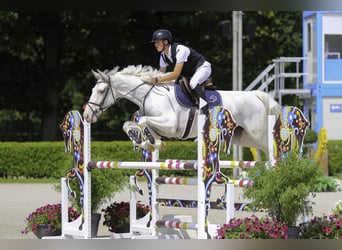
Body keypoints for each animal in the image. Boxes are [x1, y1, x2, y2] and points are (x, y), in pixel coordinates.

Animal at [83, 65, 280, 157]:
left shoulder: (171, 125)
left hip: (257, 133)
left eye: (101, 91)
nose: (86, 115)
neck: (149, 93)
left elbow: (143, 121)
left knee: (272, 147)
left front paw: (152, 142)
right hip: (244, 137)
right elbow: (130, 124)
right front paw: (148, 142)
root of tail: (255, 96)